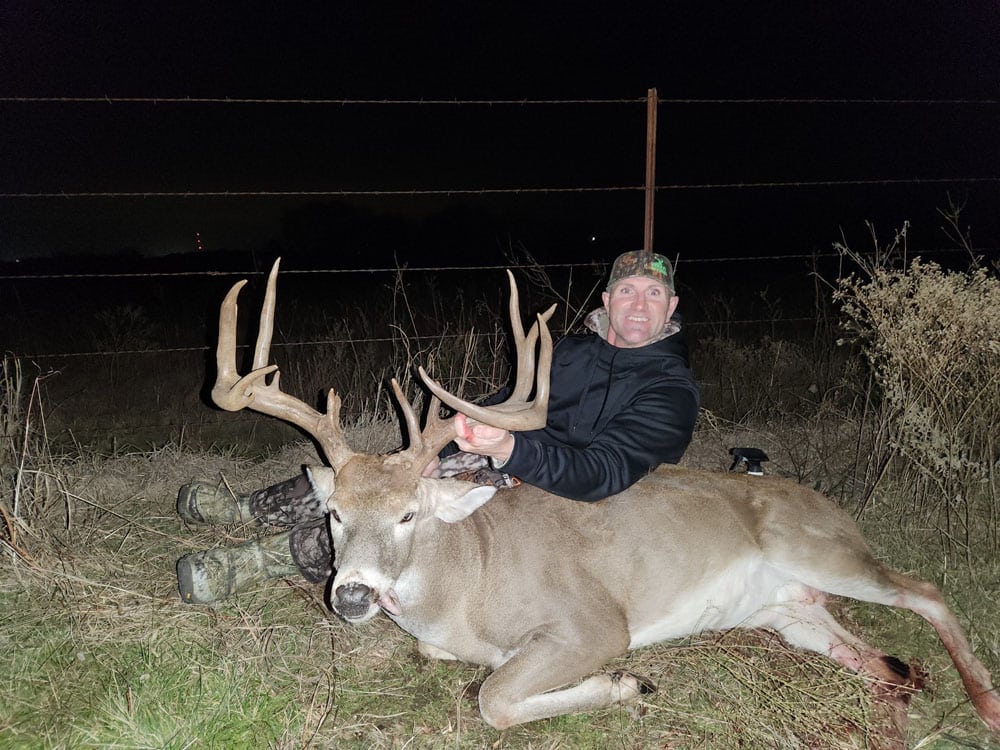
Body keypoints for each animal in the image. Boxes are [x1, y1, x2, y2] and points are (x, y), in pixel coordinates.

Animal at [209, 259, 1000, 746]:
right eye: (336, 513)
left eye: (408, 513)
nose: (350, 596)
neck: (465, 581)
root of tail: (829, 509)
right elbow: (450, 665)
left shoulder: (593, 623)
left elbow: (495, 697)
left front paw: (627, 683)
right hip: (788, 612)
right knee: (871, 656)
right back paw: (909, 689)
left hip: (820, 549)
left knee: (925, 589)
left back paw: (985, 700)